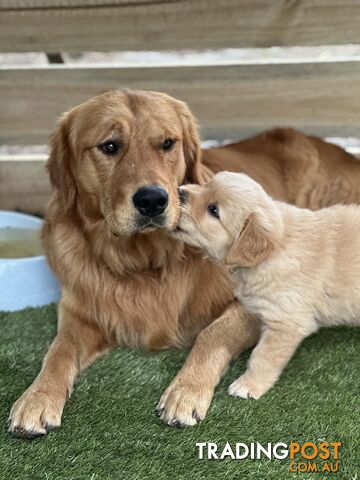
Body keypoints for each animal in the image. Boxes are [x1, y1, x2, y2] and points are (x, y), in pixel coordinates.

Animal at [176, 171, 360, 400]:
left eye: (213, 210)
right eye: (205, 184)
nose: (178, 192)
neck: (273, 251)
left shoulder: (285, 323)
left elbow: (262, 357)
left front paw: (248, 385)